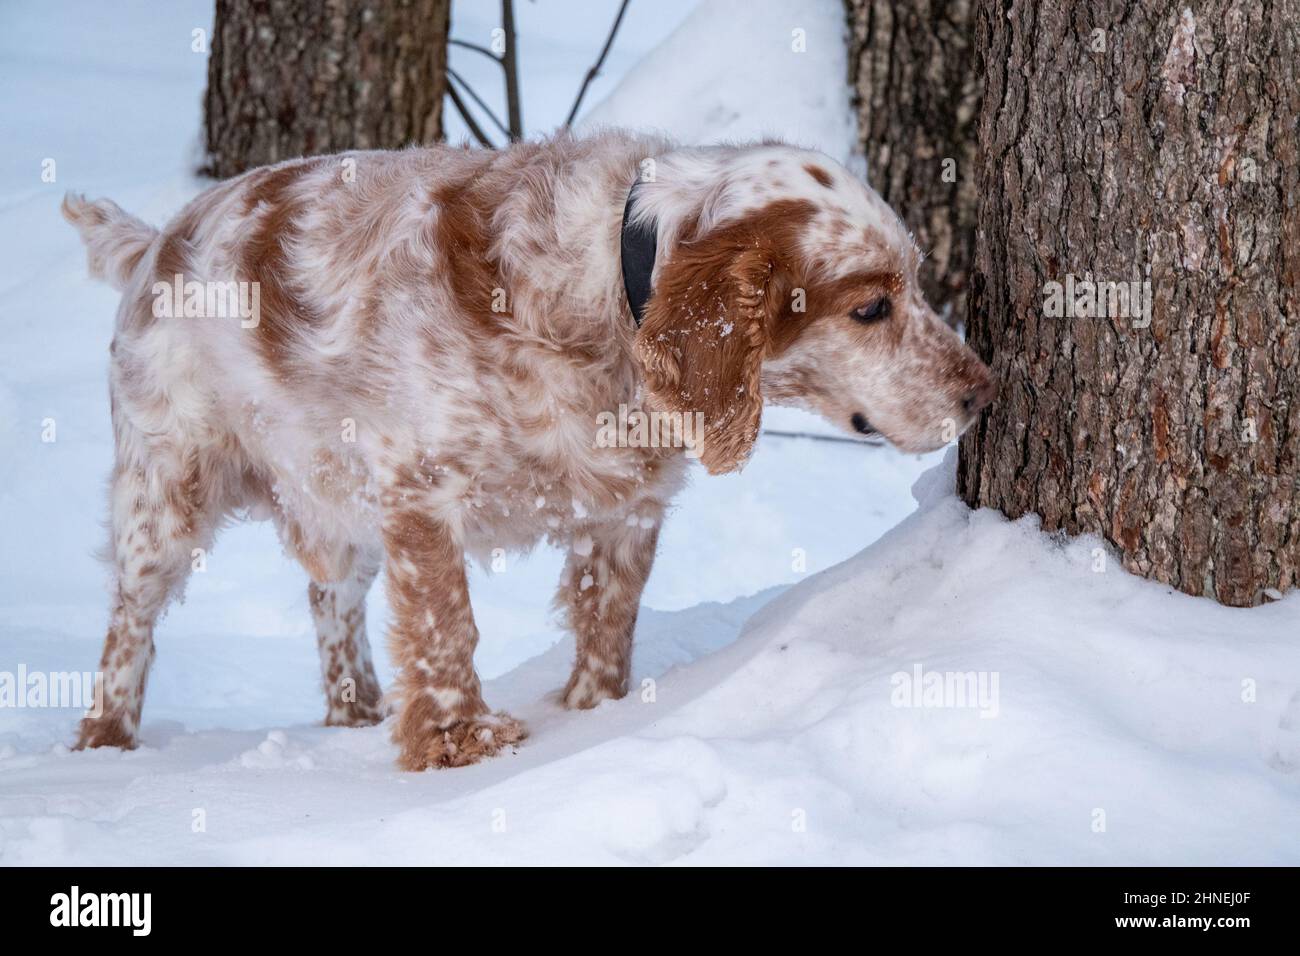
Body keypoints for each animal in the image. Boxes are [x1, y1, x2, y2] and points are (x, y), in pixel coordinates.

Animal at [63, 130, 993, 770]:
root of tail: (157, 240)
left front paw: (594, 716)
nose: (981, 390)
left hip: (332, 497)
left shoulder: (623, 511)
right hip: (165, 495)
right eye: (870, 307)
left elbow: (607, 625)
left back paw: (356, 714)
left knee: (332, 601)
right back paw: (105, 745)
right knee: (128, 628)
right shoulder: (420, 493)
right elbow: (446, 629)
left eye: (914, 281)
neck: (608, 295)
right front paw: (459, 743)